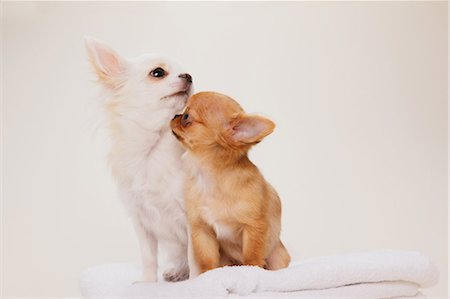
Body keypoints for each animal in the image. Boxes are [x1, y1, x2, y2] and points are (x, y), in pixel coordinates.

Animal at [171, 92, 290, 278]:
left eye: (186, 117)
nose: (175, 116)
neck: (209, 177)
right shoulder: (202, 230)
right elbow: (207, 260)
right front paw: (207, 275)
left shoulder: (253, 226)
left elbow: (252, 254)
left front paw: (252, 269)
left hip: (278, 256)